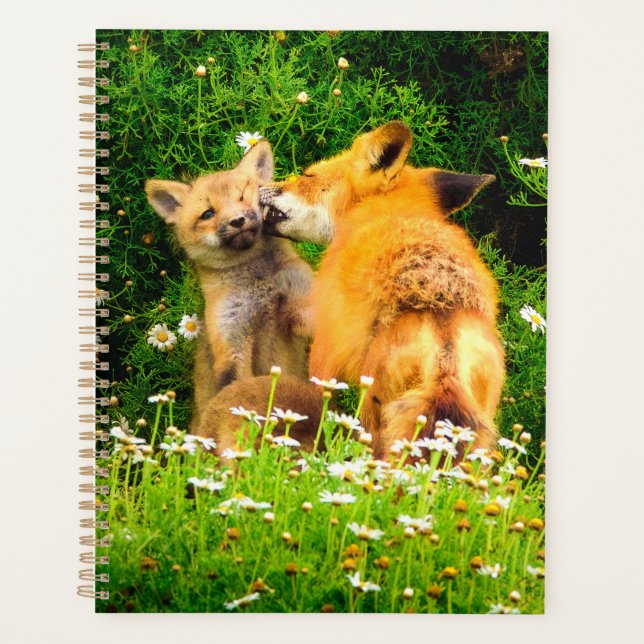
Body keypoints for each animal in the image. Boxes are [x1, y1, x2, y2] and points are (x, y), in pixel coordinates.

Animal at [145, 140, 314, 430]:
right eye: (208, 214)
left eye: (243, 197)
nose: (237, 221)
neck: (259, 286)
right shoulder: (231, 343)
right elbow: (238, 393)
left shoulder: (302, 305)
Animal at [260, 121, 505, 458]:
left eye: (308, 176)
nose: (257, 187)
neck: (384, 211)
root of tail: (446, 353)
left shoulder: (325, 350)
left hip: (373, 413)